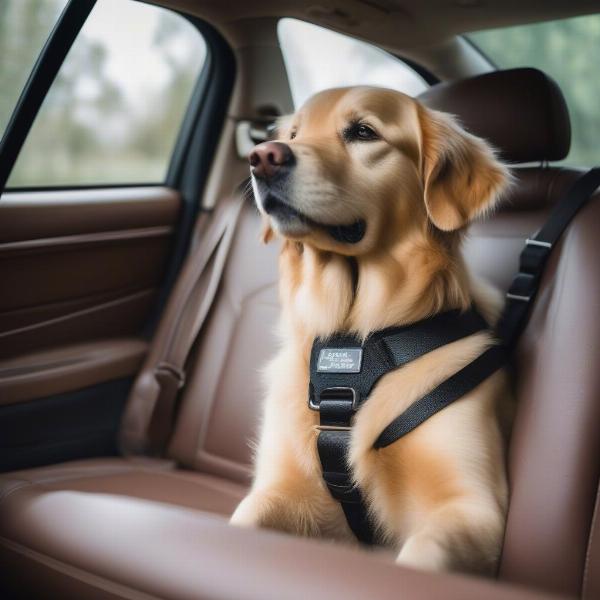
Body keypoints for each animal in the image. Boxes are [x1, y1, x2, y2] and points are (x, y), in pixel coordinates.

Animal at [230, 85, 510, 576]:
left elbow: (422, 553)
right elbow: (245, 515)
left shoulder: (474, 508)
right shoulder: (286, 490)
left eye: (363, 132)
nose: (263, 157)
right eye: (294, 134)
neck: (358, 335)